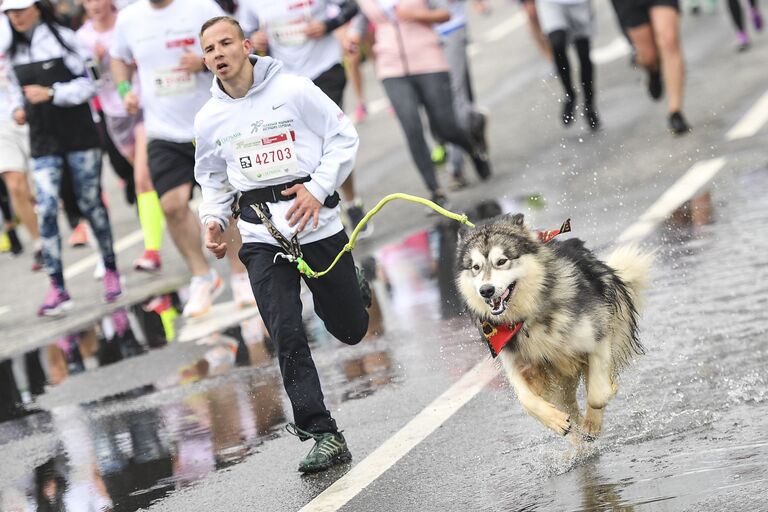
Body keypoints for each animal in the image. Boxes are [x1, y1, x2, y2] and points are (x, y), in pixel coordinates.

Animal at [456, 214, 656, 438]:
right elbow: (526, 400)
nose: (486, 291)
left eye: (501, 261)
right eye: (476, 267)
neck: (528, 317)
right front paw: (555, 420)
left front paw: (603, 400)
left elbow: (597, 395)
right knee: (569, 408)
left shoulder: (598, 334)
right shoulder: (513, 359)